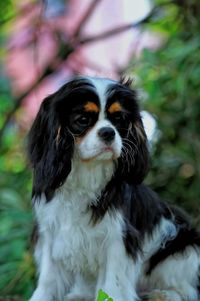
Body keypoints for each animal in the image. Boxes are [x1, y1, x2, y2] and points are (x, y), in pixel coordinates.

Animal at [28, 76, 200, 300]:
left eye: (118, 119)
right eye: (83, 119)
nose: (108, 132)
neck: (88, 172)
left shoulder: (118, 239)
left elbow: (112, 283)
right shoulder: (51, 232)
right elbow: (48, 279)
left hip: (184, 248)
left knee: (186, 290)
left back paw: (163, 294)